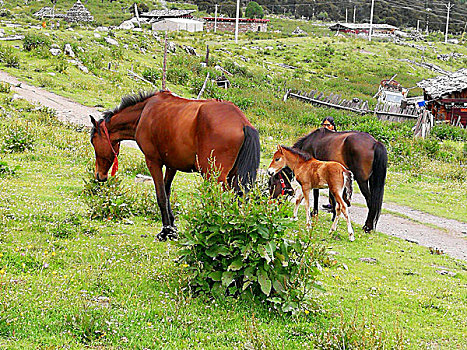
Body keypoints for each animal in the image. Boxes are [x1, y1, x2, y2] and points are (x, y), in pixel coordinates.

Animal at [89, 91, 262, 242]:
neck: (143, 113)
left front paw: (165, 232)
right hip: (234, 176)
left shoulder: (153, 162)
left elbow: (161, 196)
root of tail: (242, 123)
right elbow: (167, 193)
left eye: (93, 141)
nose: (99, 175)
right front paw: (172, 228)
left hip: (215, 176)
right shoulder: (172, 165)